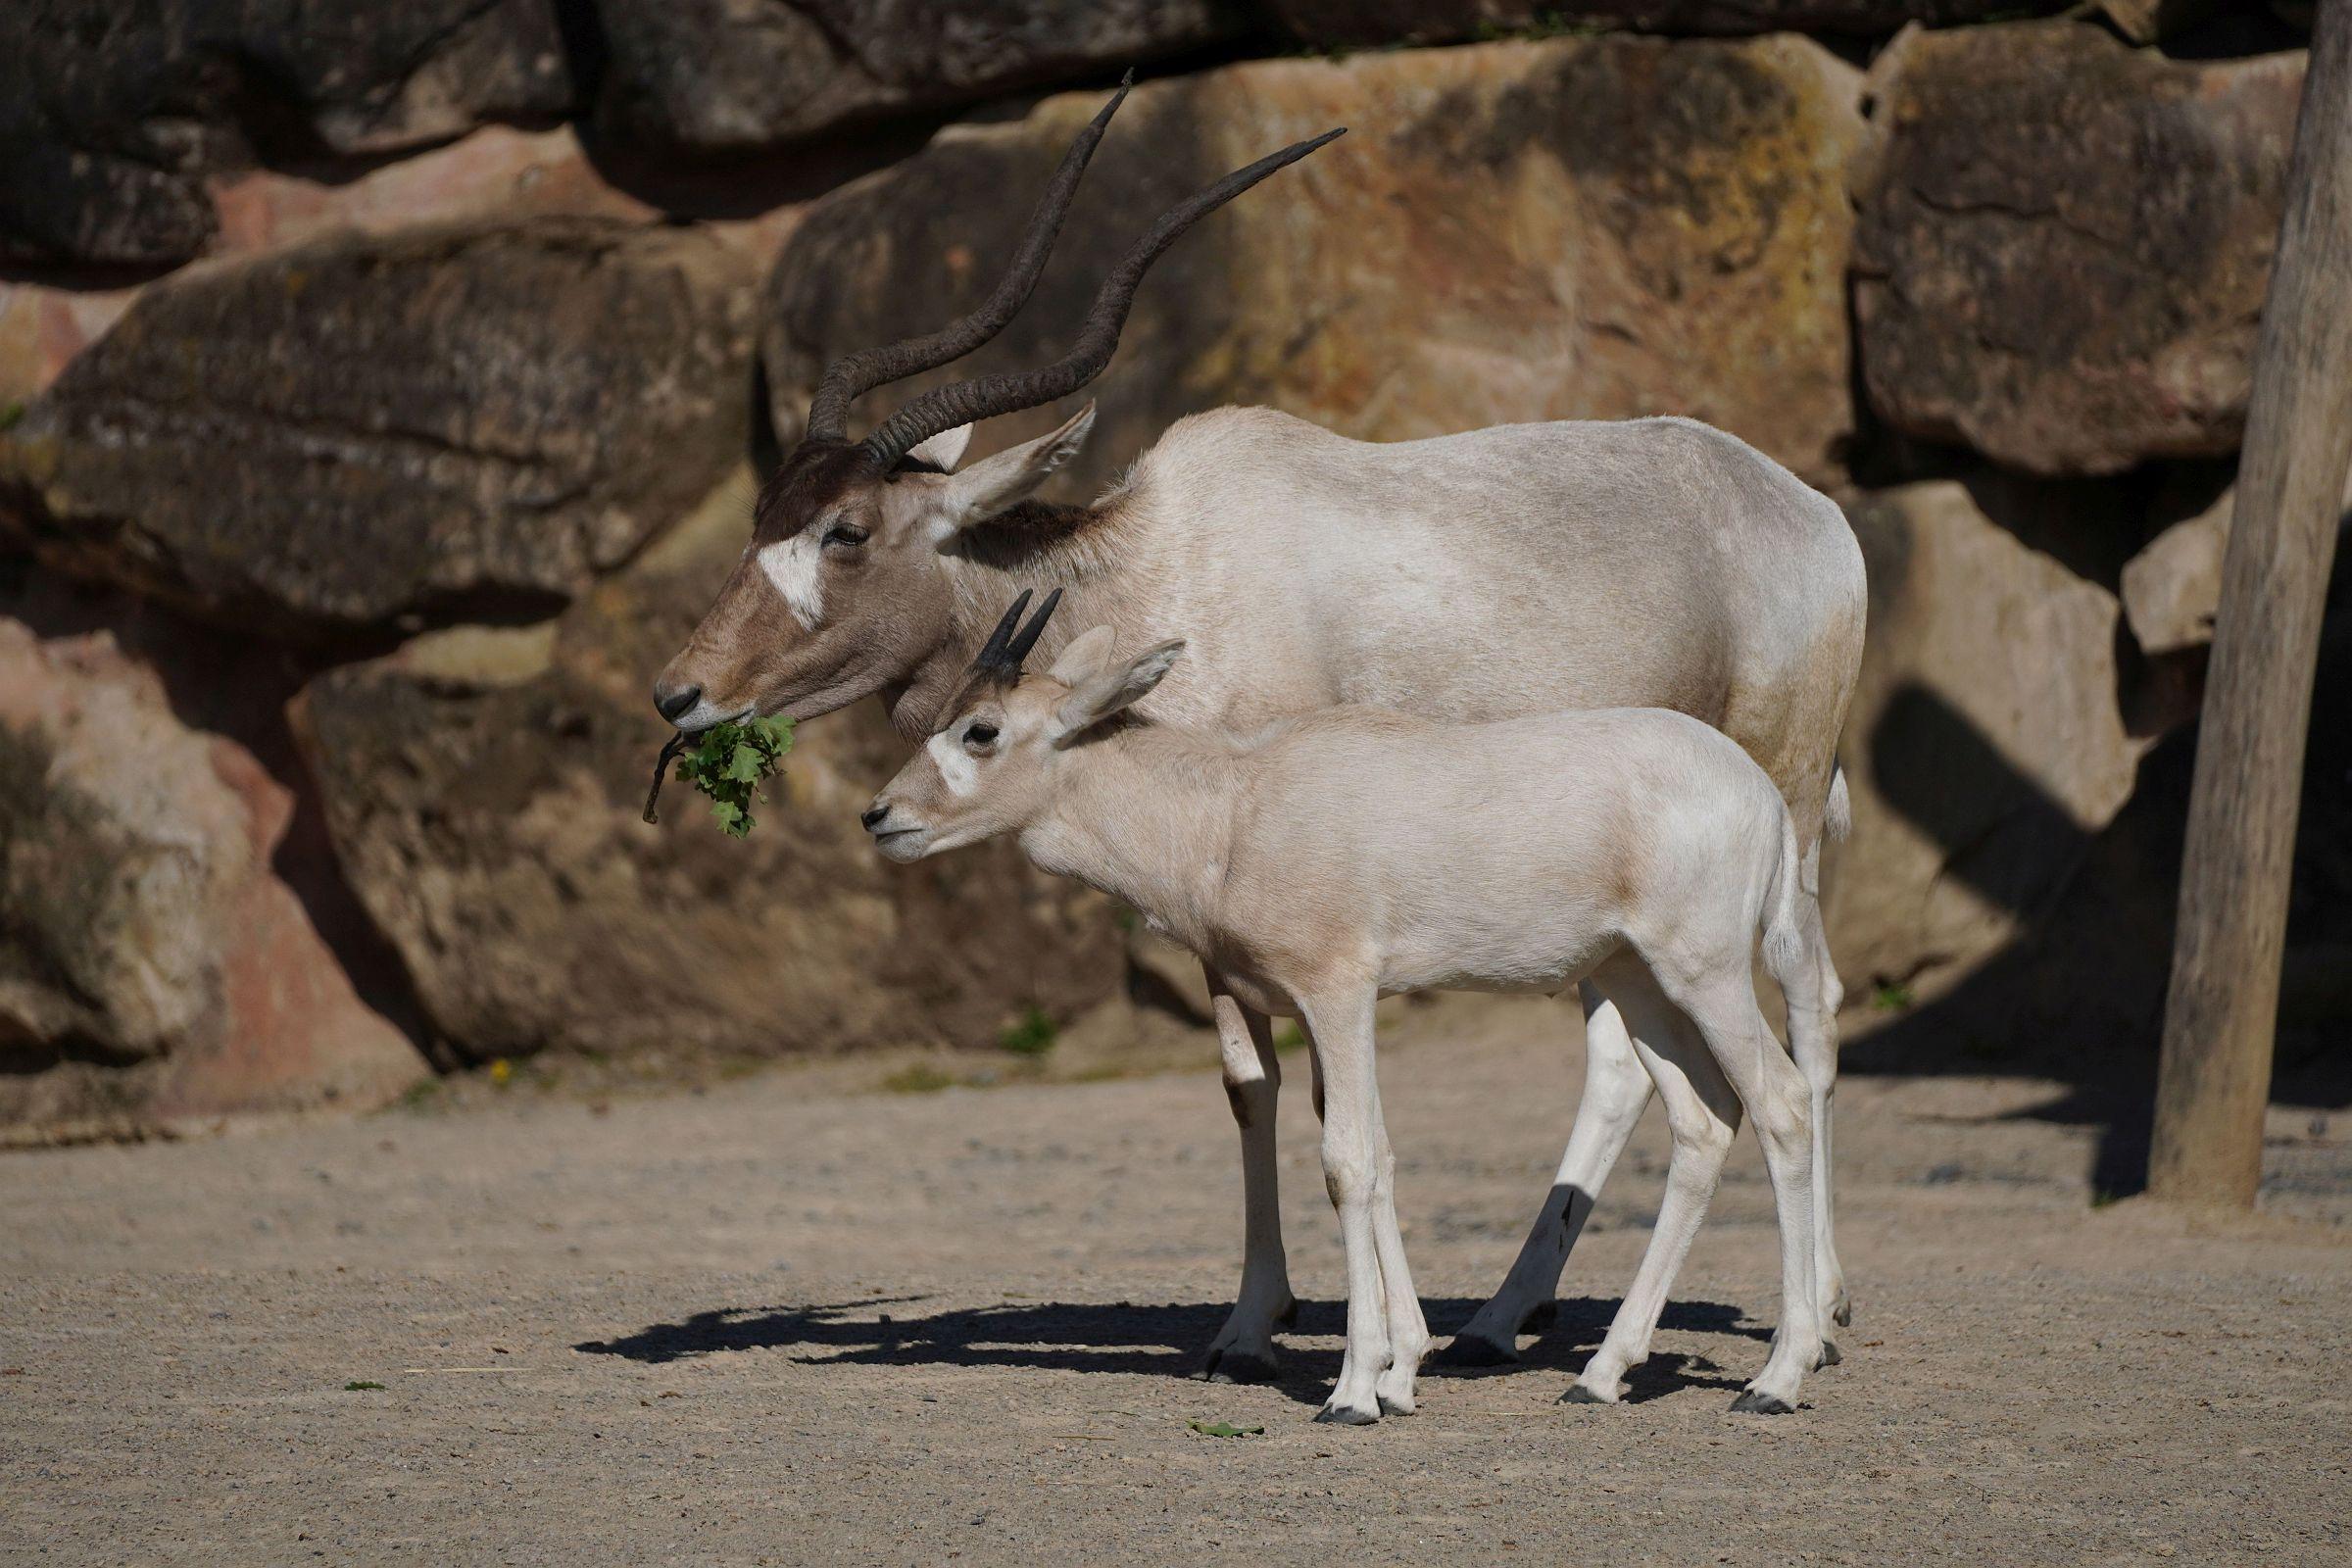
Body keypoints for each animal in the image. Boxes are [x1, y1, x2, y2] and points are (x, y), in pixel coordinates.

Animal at [870, 594, 1835, 1429]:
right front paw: (1401, 1371)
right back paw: (1602, 1373)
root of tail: (1761, 796)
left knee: (1781, 1102)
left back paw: (1779, 1376)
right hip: (1638, 978)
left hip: (1704, 971)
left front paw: (1355, 1389)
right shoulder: (1329, 1006)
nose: (881, 815)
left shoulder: (1336, 991)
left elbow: (1348, 1161)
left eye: (981, 731)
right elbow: (1375, 1150)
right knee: (1704, 1120)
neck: (1231, 808)